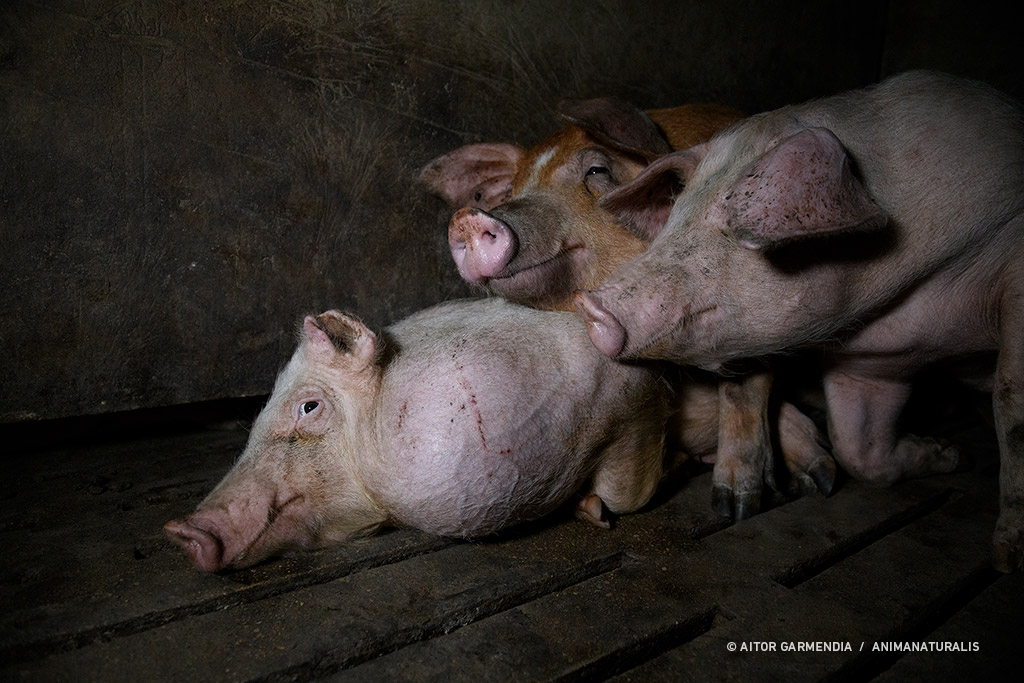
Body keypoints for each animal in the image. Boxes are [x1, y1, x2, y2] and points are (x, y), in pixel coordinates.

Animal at [577, 69, 1024, 573]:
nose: (591, 306)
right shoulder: (873, 362)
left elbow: (1012, 403)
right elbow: (854, 448)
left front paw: (1006, 558)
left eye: (734, 225)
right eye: (675, 217)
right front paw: (737, 509)